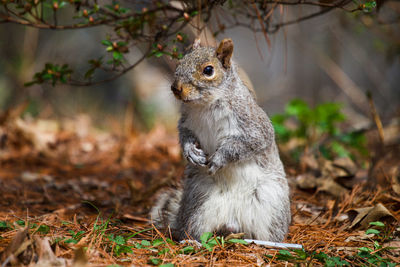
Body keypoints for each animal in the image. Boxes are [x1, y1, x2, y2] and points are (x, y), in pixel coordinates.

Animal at [151, 38, 290, 243]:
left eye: (208, 70)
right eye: (179, 62)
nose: (176, 88)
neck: (205, 105)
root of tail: (234, 220)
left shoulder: (254, 126)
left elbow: (250, 143)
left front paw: (219, 158)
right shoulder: (186, 122)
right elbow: (184, 136)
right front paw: (190, 152)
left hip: (271, 204)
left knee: (267, 234)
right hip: (198, 203)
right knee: (196, 229)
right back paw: (194, 241)